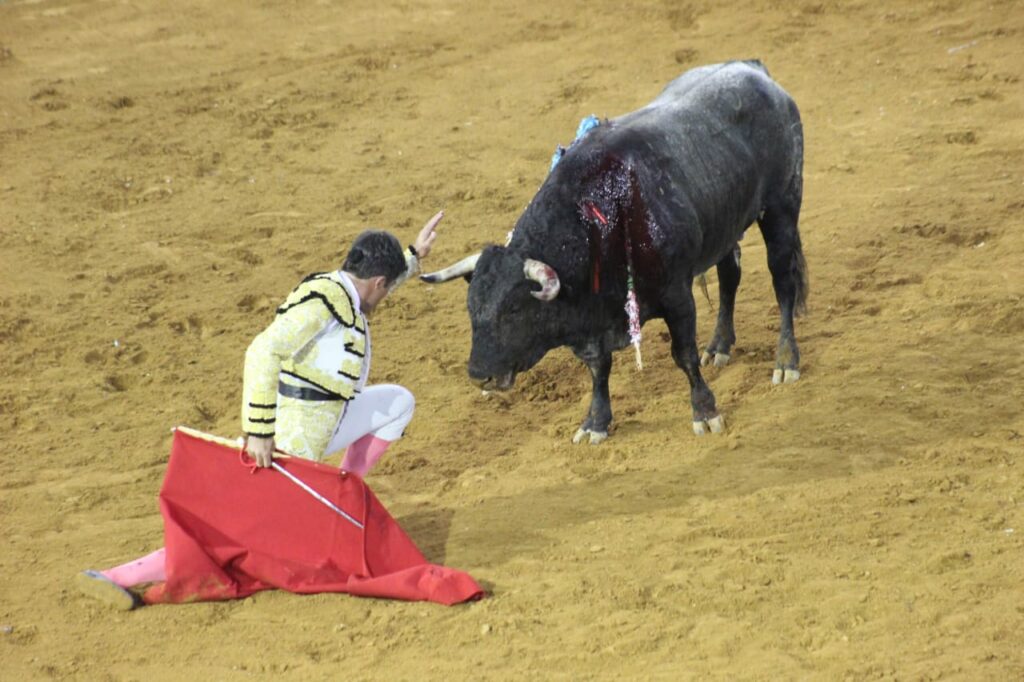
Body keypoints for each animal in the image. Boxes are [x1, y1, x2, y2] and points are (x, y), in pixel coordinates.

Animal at [422, 60, 807, 444]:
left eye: (515, 310)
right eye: (471, 308)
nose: (479, 375)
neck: (598, 221)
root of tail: (755, 70)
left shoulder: (677, 296)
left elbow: (683, 354)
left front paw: (706, 411)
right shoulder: (592, 323)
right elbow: (598, 367)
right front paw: (595, 422)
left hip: (781, 207)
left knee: (782, 283)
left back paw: (786, 361)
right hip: (726, 222)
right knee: (730, 274)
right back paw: (720, 346)